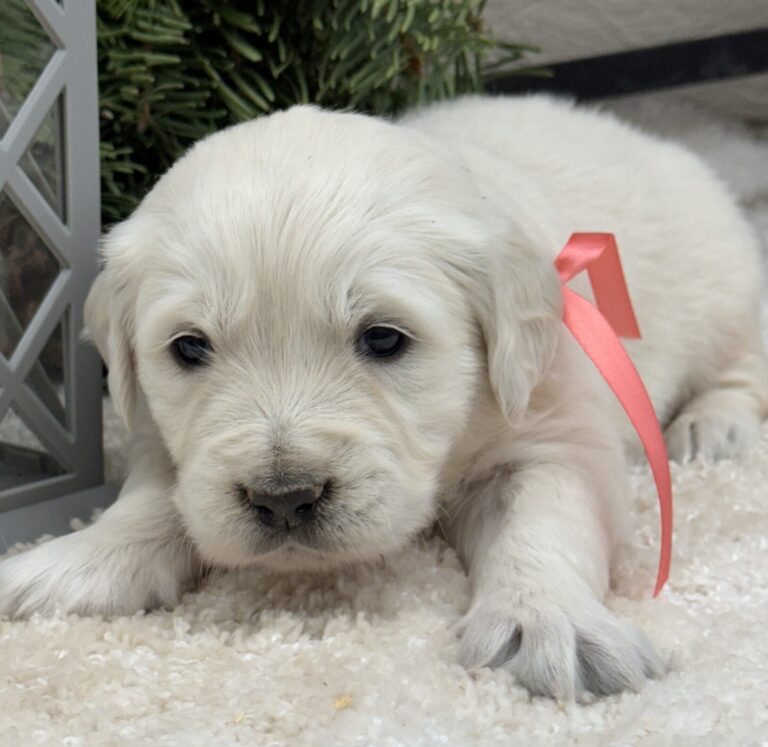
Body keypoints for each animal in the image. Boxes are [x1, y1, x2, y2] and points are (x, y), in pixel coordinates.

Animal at [1, 96, 768, 700]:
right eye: (189, 348)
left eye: (383, 339)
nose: (285, 498)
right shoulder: (171, 440)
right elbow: (156, 497)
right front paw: (68, 563)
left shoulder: (549, 423)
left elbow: (543, 520)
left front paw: (549, 620)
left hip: (724, 281)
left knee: (745, 356)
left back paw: (713, 425)